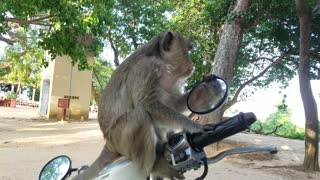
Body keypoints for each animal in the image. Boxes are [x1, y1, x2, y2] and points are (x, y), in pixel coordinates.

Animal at [73, 31, 212, 180]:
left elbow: (172, 104)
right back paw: (156, 166)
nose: (192, 66)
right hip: (120, 139)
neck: (161, 62)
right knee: (140, 115)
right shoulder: (146, 69)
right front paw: (194, 126)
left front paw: (203, 93)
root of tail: (109, 144)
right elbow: (147, 104)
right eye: (186, 53)